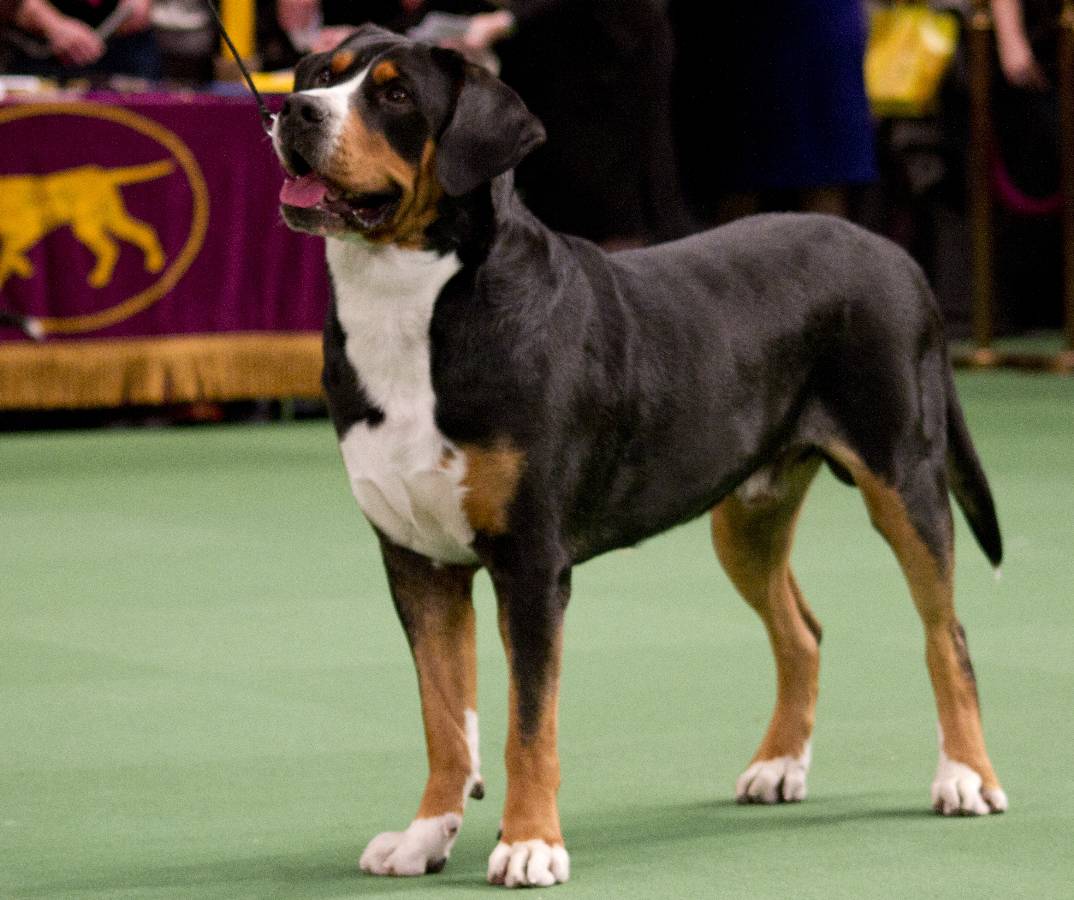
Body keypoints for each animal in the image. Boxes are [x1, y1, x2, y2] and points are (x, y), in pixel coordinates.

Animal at [0, 160, 171, 289]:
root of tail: (103, 175)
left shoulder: (29, 229)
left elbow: (8, 252)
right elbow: (9, 252)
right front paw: (22, 268)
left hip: (88, 226)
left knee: (110, 248)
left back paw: (101, 277)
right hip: (111, 219)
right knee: (144, 231)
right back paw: (155, 261)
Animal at [272, 24, 1009, 893]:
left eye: (393, 95)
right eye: (320, 74)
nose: (294, 111)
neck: (411, 308)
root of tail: (894, 253)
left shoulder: (531, 563)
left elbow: (529, 724)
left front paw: (530, 843)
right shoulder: (417, 560)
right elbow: (444, 716)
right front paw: (425, 835)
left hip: (903, 478)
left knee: (947, 635)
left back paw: (966, 777)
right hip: (747, 514)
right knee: (801, 632)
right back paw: (780, 765)